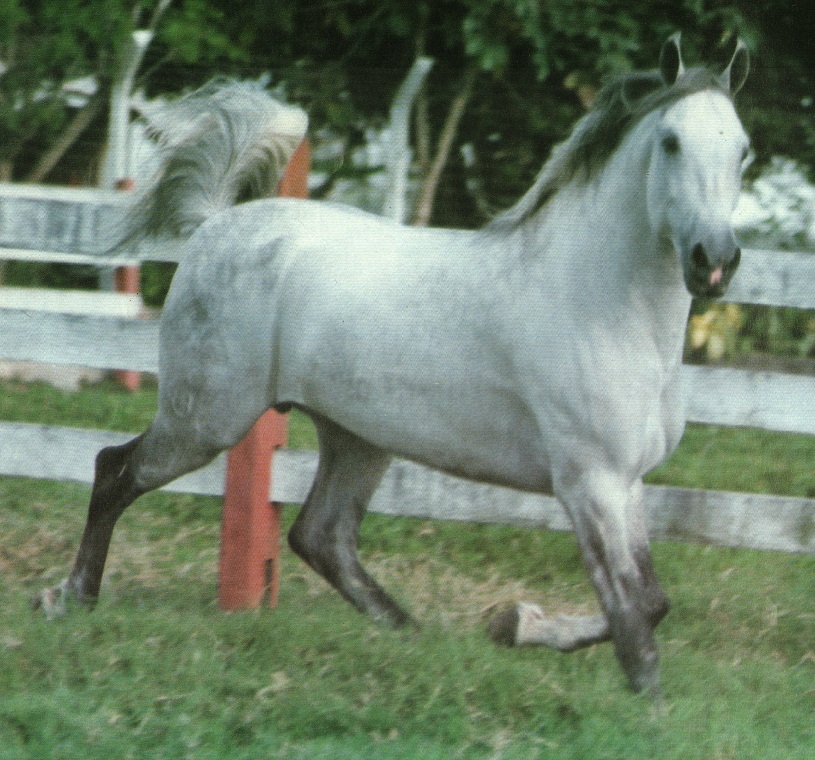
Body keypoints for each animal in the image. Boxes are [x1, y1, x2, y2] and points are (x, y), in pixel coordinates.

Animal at [38, 38, 752, 696]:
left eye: (742, 150)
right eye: (670, 142)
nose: (714, 261)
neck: (596, 303)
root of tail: (217, 224)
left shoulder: (626, 484)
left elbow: (651, 602)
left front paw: (512, 623)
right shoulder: (589, 483)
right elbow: (632, 612)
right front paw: (640, 697)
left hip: (355, 436)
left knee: (321, 536)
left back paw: (413, 636)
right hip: (206, 418)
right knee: (115, 470)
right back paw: (70, 598)